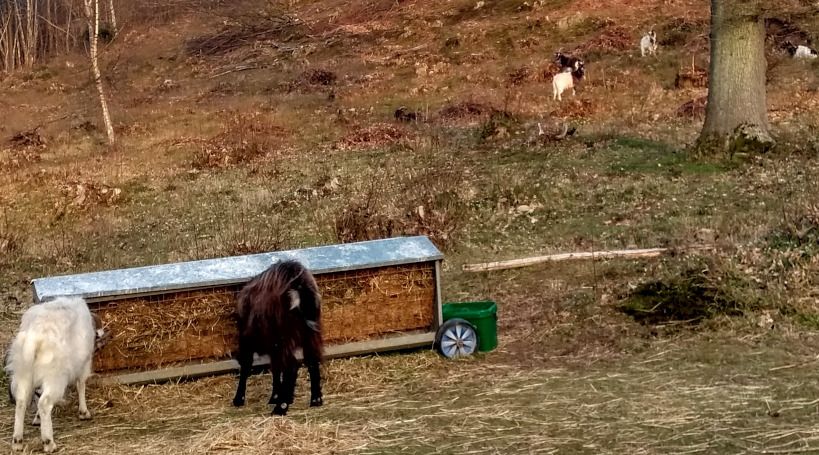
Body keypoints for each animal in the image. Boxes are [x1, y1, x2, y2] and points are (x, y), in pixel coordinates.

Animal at [5, 296, 107, 452]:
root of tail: (35, 336)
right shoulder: (84, 364)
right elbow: (81, 385)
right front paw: (84, 412)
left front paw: (37, 419)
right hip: (55, 377)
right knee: (44, 403)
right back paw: (48, 442)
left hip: (23, 371)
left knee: (21, 401)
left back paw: (17, 441)